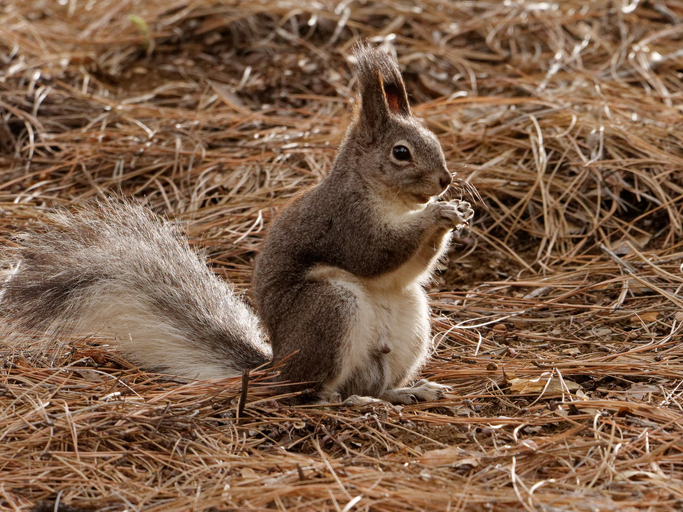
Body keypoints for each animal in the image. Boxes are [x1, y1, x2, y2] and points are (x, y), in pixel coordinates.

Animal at [0, 44, 472, 404]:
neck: (381, 196)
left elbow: (404, 271)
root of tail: (276, 368)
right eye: (401, 153)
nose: (445, 180)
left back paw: (404, 392)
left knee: (373, 380)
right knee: (312, 393)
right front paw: (437, 213)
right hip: (329, 308)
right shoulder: (343, 221)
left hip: (411, 319)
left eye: (434, 140)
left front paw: (456, 212)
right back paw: (346, 401)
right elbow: (374, 253)